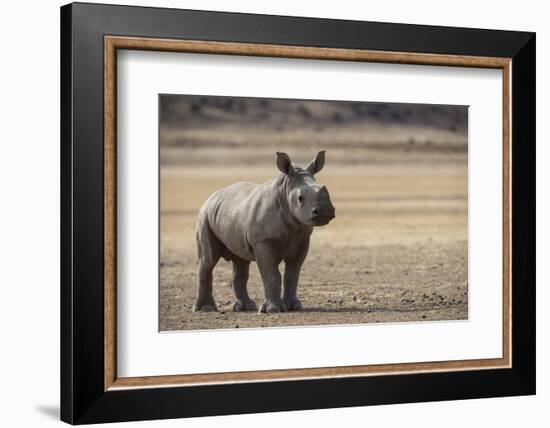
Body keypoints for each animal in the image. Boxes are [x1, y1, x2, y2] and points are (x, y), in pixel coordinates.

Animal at [196, 152, 338, 312]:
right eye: (300, 198)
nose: (326, 211)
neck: (284, 191)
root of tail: (212, 196)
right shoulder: (263, 241)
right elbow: (271, 274)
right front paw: (272, 309)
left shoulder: (302, 240)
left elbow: (292, 275)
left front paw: (294, 306)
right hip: (204, 215)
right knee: (208, 260)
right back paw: (206, 309)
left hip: (230, 213)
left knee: (240, 261)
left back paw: (246, 307)